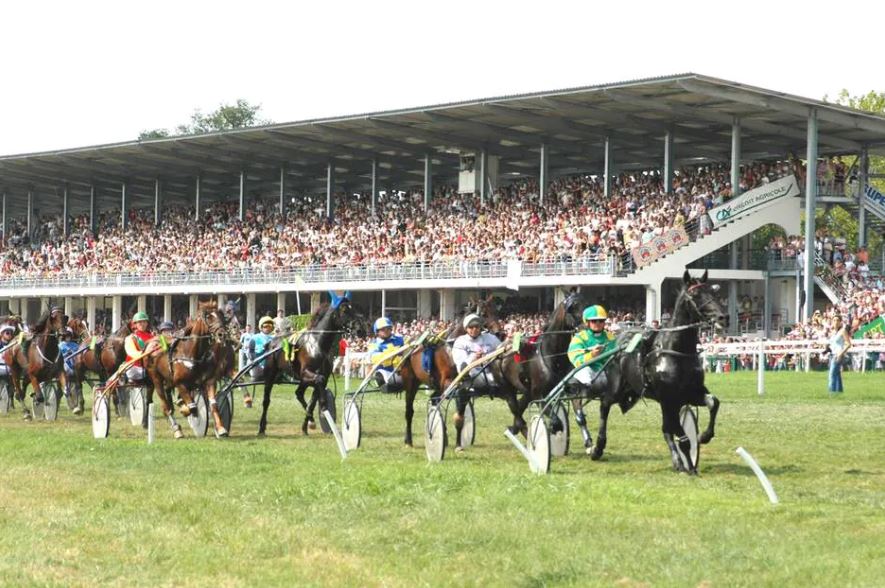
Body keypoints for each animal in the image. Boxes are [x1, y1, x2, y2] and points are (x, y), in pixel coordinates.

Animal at [256, 294, 366, 436]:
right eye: (344, 310)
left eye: (354, 308)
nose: (360, 330)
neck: (317, 344)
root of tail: (271, 342)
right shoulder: (307, 372)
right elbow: (319, 385)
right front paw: (322, 409)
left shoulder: (318, 377)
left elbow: (313, 400)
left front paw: (309, 423)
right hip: (271, 374)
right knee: (266, 401)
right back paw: (261, 428)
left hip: (302, 380)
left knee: (299, 393)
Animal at [580, 270, 724, 474]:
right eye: (695, 295)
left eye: (713, 291)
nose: (722, 317)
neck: (676, 351)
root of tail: (616, 341)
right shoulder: (669, 399)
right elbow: (681, 436)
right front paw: (688, 464)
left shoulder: (691, 393)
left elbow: (713, 403)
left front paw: (704, 437)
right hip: (616, 388)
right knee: (605, 405)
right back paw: (597, 447)